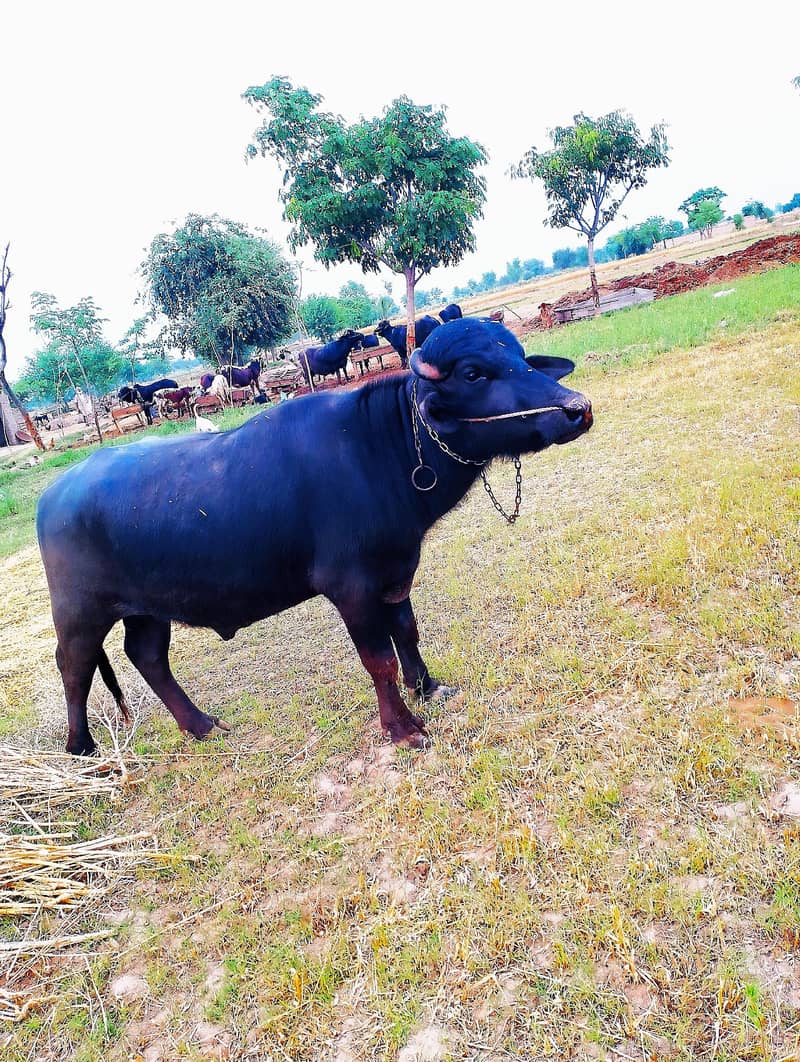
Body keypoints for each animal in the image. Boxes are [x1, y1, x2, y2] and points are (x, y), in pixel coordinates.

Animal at [38, 318, 592, 757]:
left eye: (520, 358)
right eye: (474, 373)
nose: (577, 408)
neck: (381, 447)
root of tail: (54, 495)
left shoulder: (396, 573)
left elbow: (407, 632)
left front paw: (428, 687)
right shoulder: (350, 587)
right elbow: (378, 659)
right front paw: (403, 729)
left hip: (149, 607)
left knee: (148, 657)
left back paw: (202, 725)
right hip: (80, 611)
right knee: (74, 666)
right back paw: (82, 747)